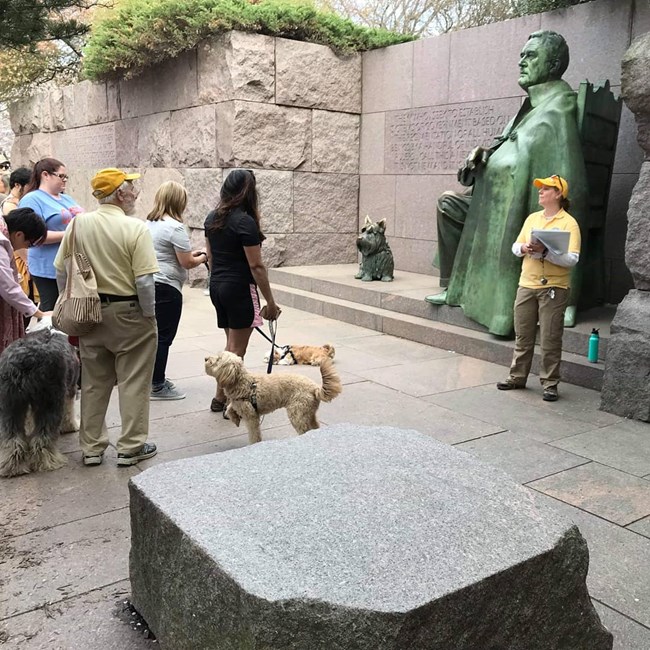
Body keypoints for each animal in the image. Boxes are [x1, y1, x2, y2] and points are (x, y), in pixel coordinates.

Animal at [0, 330, 79, 476]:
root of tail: (24, 359)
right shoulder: (70, 389)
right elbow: (69, 412)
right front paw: (72, 426)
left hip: (10, 404)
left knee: (11, 438)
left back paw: (13, 467)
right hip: (50, 400)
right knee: (43, 437)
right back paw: (48, 462)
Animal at [204, 350, 342, 446]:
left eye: (218, 359)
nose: (205, 358)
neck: (242, 382)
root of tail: (315, 387)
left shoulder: (251, 417)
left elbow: (254, 434)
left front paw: (254, 444)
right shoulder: (240, 403)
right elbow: (229, 408)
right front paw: (235, 419)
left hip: (297, 413)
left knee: (304, 429)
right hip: (308, 412)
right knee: (314, 426)